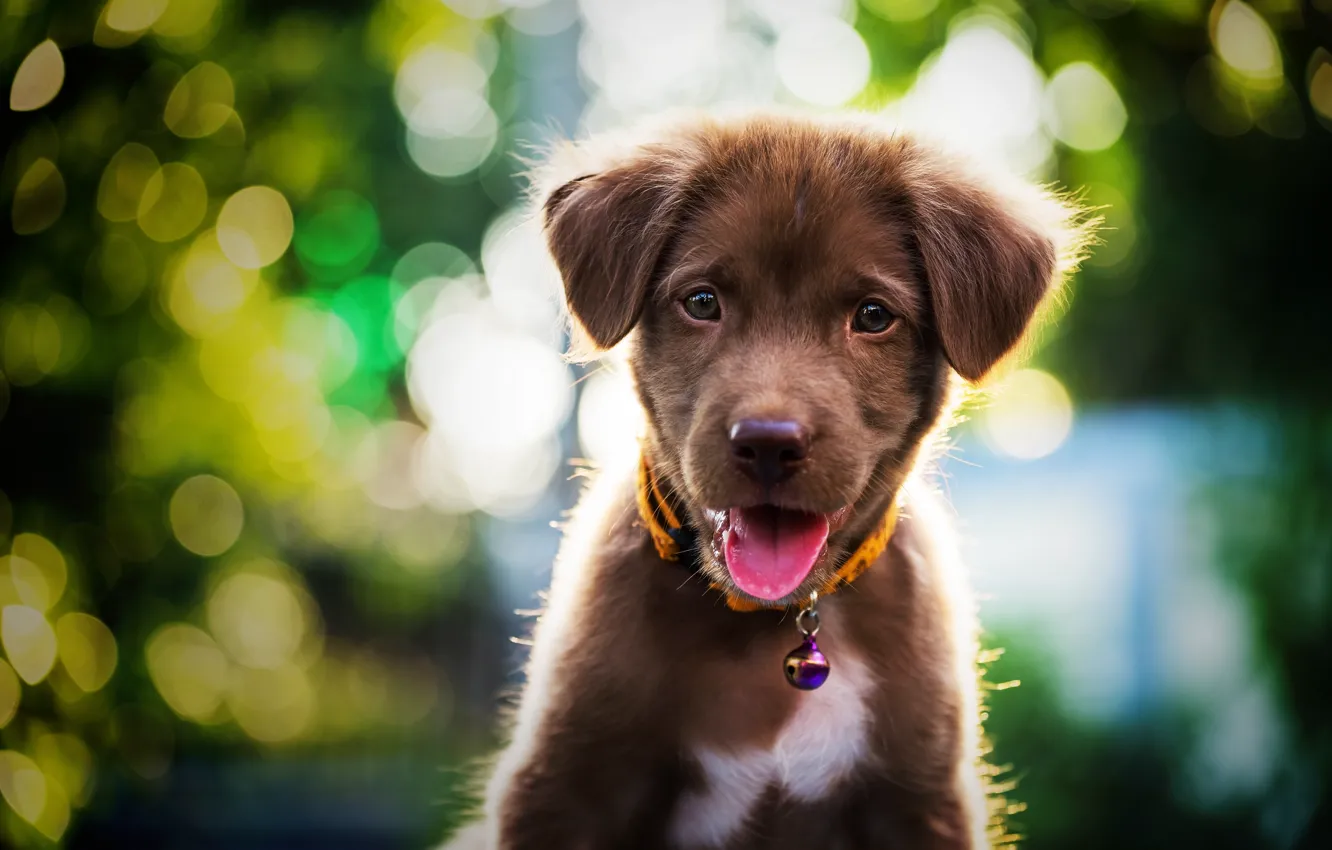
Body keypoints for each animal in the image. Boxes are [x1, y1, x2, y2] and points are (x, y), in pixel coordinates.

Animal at [447, 114, 1092, 850]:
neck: (774, 627)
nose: (768, 444)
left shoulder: (922, 800)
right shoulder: (566, 787)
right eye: (702, 302)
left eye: (873, 316)